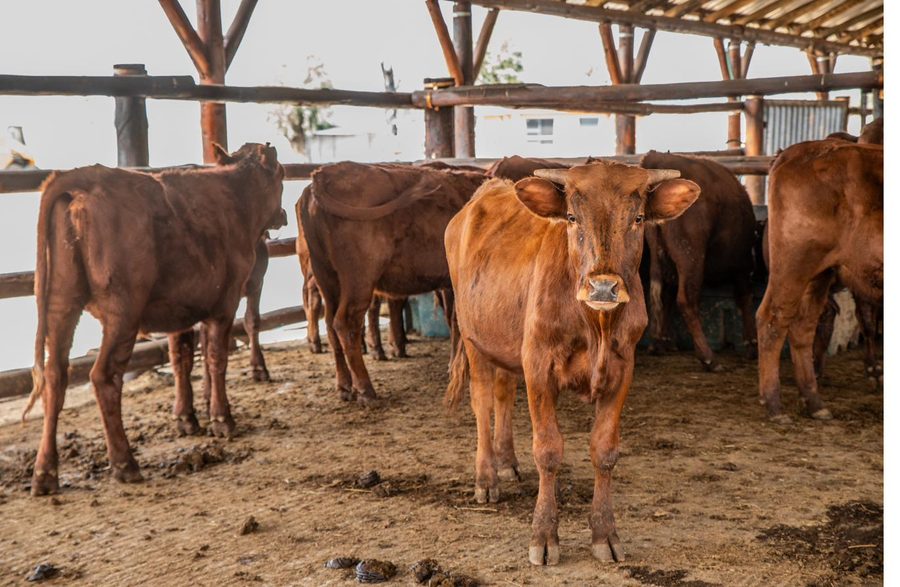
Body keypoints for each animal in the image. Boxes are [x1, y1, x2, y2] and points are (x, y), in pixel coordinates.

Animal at [25, 143, 285, 495]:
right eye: (281, 174)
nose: (282, 215)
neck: (237, 197)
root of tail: (85, 178)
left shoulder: (183, 308)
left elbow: (182, 359)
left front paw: (188, 419)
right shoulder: (225, 303)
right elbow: (216, 359)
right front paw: (222, 420)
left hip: (61, 302)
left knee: (55, 377)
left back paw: (45, 474)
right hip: (123, 311)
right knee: (104, 376)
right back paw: (125, 464)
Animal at [298, 162, 486, 404]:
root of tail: (323, 174)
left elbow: (454, 320)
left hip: (327, 279)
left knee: (330, 324)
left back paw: (344, 387)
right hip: (359, 279)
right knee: (345, 323)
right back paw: (366, 390)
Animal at [445, 161, 699, 565]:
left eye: (639, 218)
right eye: (571, 218)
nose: (603, 288)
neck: (595, 326)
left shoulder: (622, 368)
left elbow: (605, 450)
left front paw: (605, 534)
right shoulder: (538, 366)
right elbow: (548, 450)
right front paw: (544, 536)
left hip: (505, 344)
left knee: (503, 394)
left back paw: (507, 462)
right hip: (474, 340)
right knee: (482, 400)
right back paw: (486, 477)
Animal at [640, 151, 758, 371]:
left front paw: (665, 342)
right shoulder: (743, 266)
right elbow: (745, 298)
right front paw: (752, 344)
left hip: (662, 257)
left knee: (661, 295)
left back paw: (656, 344)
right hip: (691, 258)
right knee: (686, 300)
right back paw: (708, 357)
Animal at [756, 139, 882, 423]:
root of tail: (791, 153)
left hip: (819, 274)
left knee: (803, 325)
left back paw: (813, 401)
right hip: (794, 265)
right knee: (773, 319)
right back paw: (774, 404)